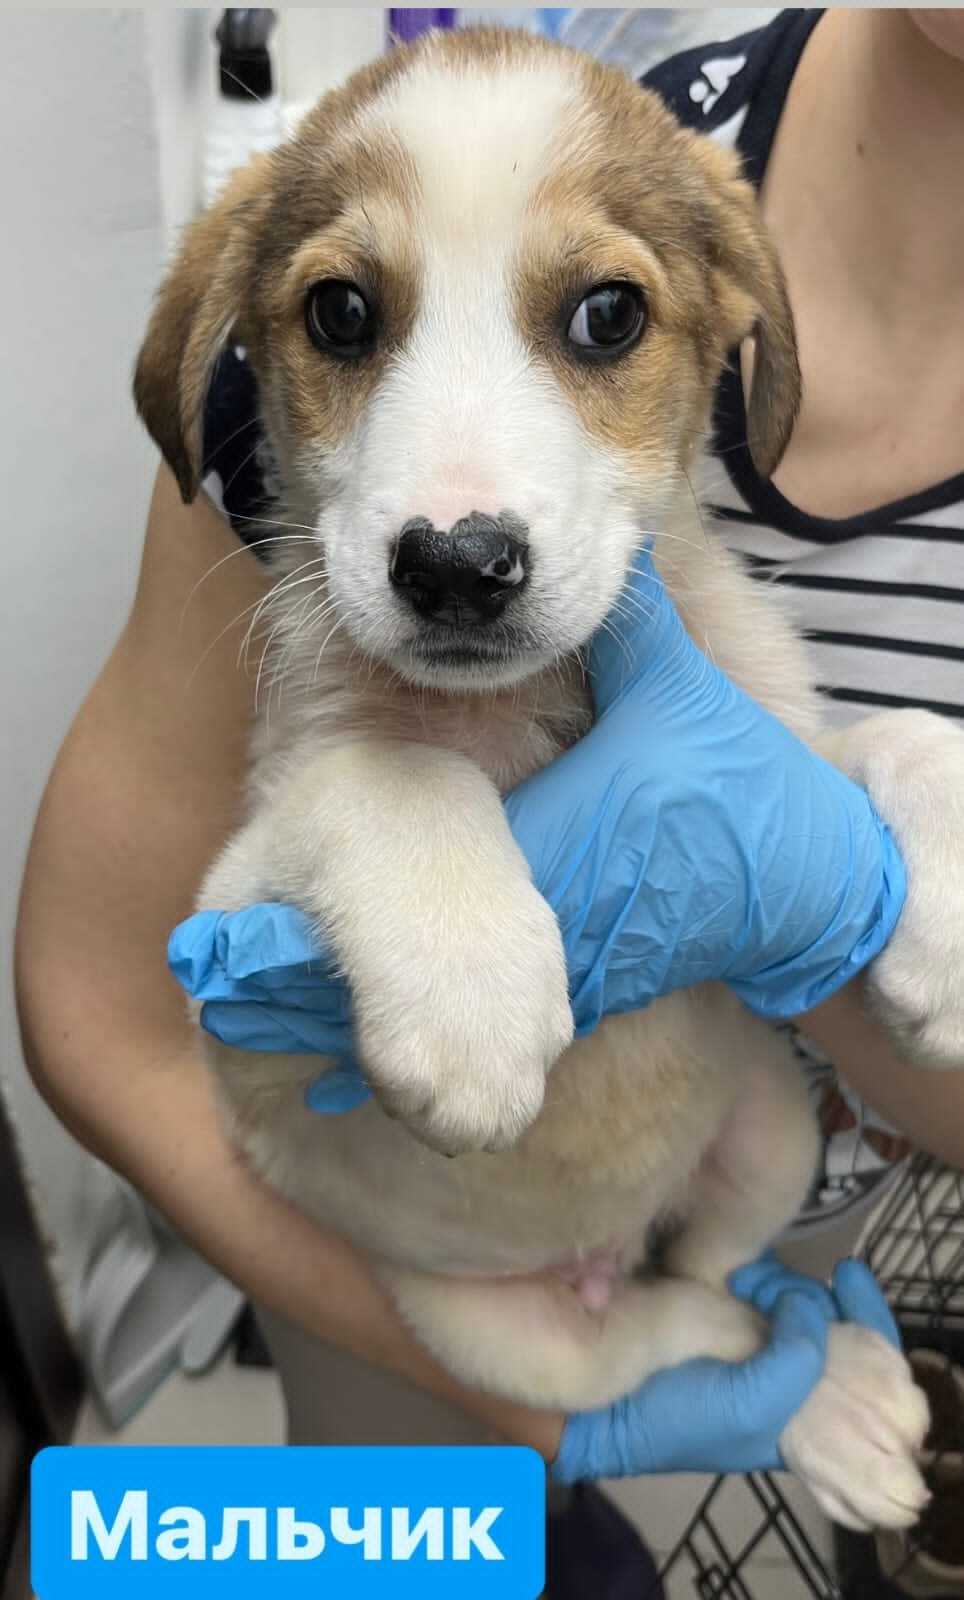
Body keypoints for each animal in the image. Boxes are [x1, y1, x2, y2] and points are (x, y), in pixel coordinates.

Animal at [135, 25, 960, 1523]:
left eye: (607, 317)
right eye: (341, 313)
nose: (457, 566)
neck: (535, 709)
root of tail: (606, 1244)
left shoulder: (765, 752)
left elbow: (889, 739)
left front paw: (949, 926)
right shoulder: (229, 915)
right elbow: (393, 777)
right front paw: (473, 999)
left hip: (768, 1124)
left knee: (728, 1278)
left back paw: (837, 1381)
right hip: (490, 1332)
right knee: (680, 1340)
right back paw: (812, 1401)